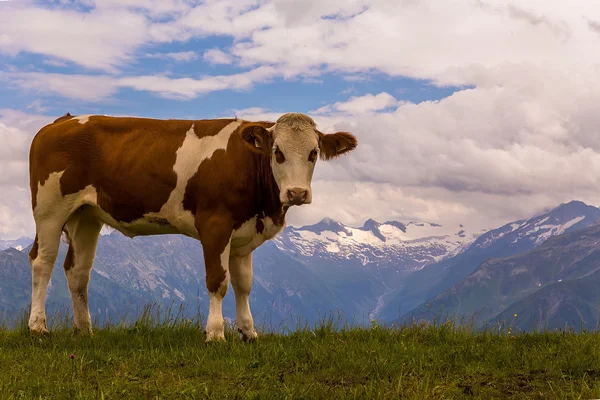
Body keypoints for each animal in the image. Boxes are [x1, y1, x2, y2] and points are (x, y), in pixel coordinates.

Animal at [27, 111, 356, 340]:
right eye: (278, 153)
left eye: (314, 153)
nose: (297, 193)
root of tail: (61, 121)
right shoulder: (215, 224)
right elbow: (218, 281)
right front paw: (215, 333)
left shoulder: (243, 234)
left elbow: (244, 284)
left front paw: (249, 332)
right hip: (49, 209)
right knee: (42, 261)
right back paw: (38, 327)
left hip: (86, 215)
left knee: (77, 271)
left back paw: (84, 329)